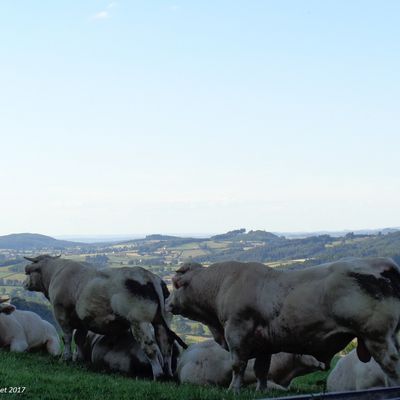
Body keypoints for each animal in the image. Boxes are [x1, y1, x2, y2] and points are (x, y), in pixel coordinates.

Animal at [24, 255, 187, 380]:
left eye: (29, 273)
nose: (24, 284)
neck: (54, 273)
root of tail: (150, 277)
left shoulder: (61, 312)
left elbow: (68, 337)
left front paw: (66, 358)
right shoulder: (82, 320)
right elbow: (79, 339)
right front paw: (79, 359)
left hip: (139, 321)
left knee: (151, 348)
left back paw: (158, 375)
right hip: (162, 321)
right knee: (166, 347)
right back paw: (168, 374)